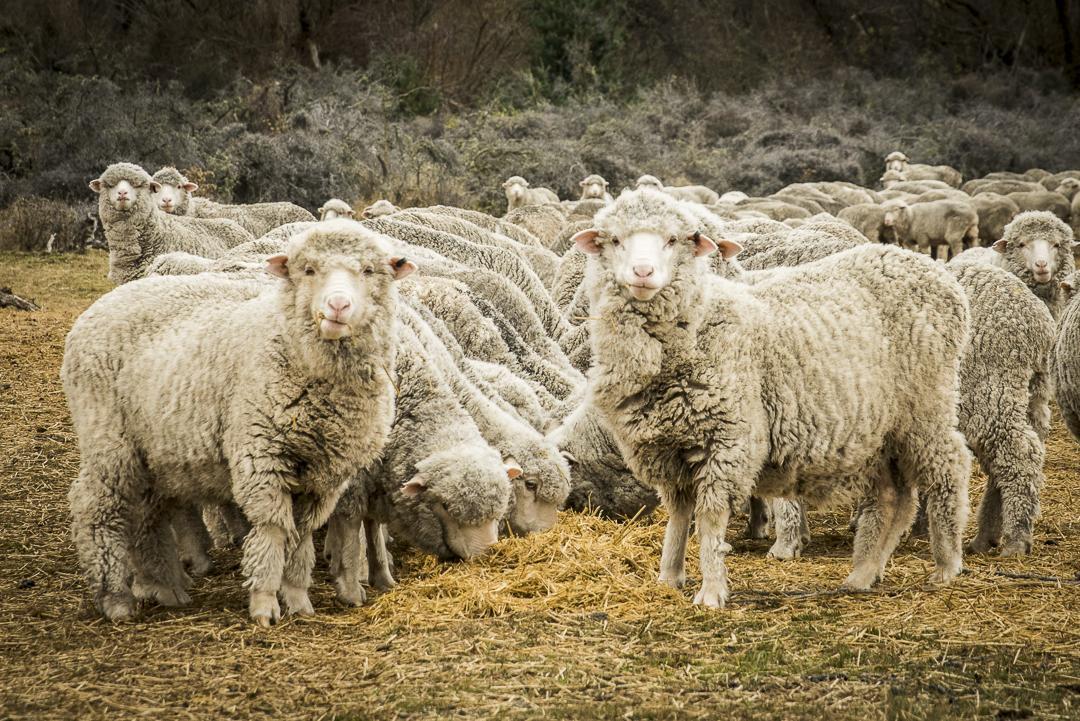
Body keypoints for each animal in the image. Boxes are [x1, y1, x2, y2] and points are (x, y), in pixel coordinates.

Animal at [64, 221, 412, 626]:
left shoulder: (324, 477)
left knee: (147, 515)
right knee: (96, 508)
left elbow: (302, 534)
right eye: (308, 270)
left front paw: (297, 598)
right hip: (108, 437)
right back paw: (116, 598)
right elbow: (273, 530)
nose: (338, 306)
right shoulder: (262, 457)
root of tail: (97, 307)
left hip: (152, 450)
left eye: (369, 271)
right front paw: (264, 604)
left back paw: (166, 588)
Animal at [321, 317, 511, 604]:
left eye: (498, 514)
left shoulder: (376, 480)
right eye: (445, 506)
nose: (486, 555)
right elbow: (351, 534)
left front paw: (383, 579)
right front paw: (350, 589)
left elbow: (373, 528)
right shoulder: (352, 480)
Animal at [578, 188, 976, 604]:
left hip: (927, 403)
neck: (699, 322)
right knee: (893, 497)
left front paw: (711, 590)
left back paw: (947, 563)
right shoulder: (668, 448)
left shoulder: (729, 440)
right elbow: (679, 515)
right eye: (616, 240)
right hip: (882, 427)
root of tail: (926, 267)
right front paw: (669, 576)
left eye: (673, 240)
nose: (642, 273)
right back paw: (864, 572)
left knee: (950, 466)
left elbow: (710, 518)